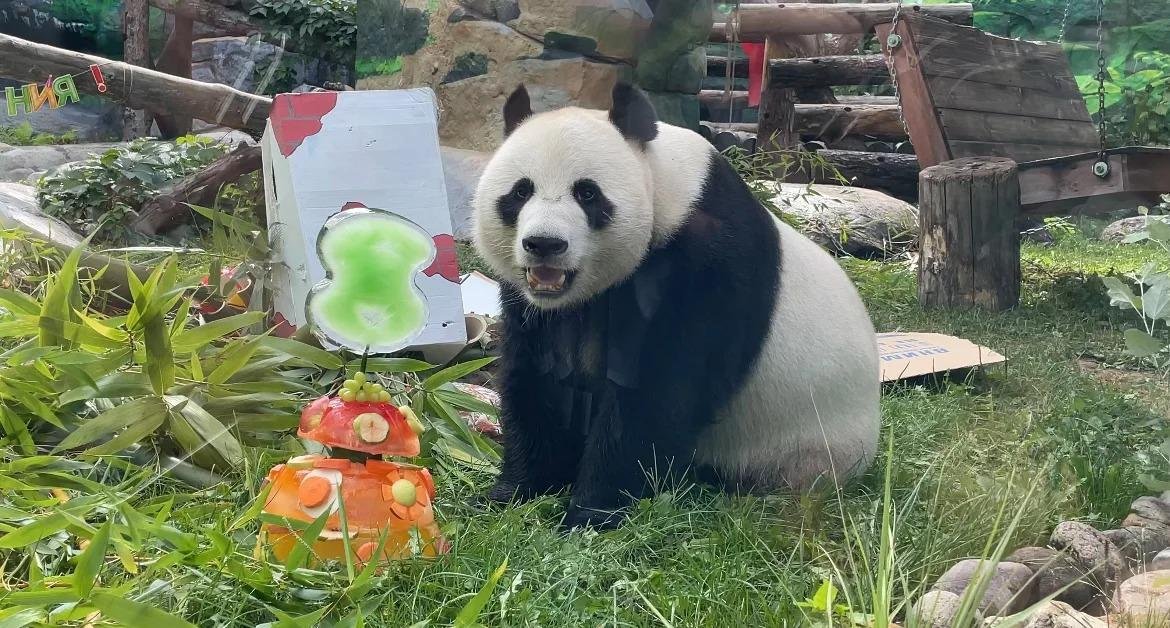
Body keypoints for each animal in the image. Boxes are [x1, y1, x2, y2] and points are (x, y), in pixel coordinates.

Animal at [471, 82, 880, 529]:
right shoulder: (538, 309)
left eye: (587, 193)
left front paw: (591, 513)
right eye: (520, 191)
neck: (667, 189)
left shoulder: (703, 265)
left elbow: (656, 391)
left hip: (801, 447)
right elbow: (540, 378)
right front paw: (512, 494)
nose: (544, 244)